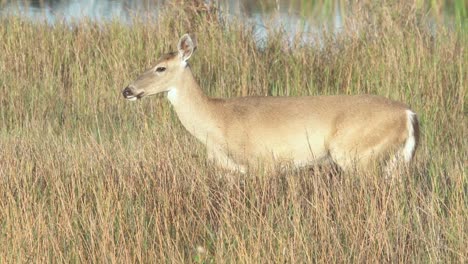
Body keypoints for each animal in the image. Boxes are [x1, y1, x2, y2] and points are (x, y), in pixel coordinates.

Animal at [121, 34, 420, 174]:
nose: (127, 90)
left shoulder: (262, 164)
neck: (217, 119)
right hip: (393, 162)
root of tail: (408, 114)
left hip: (358, 155)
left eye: (160, 68)